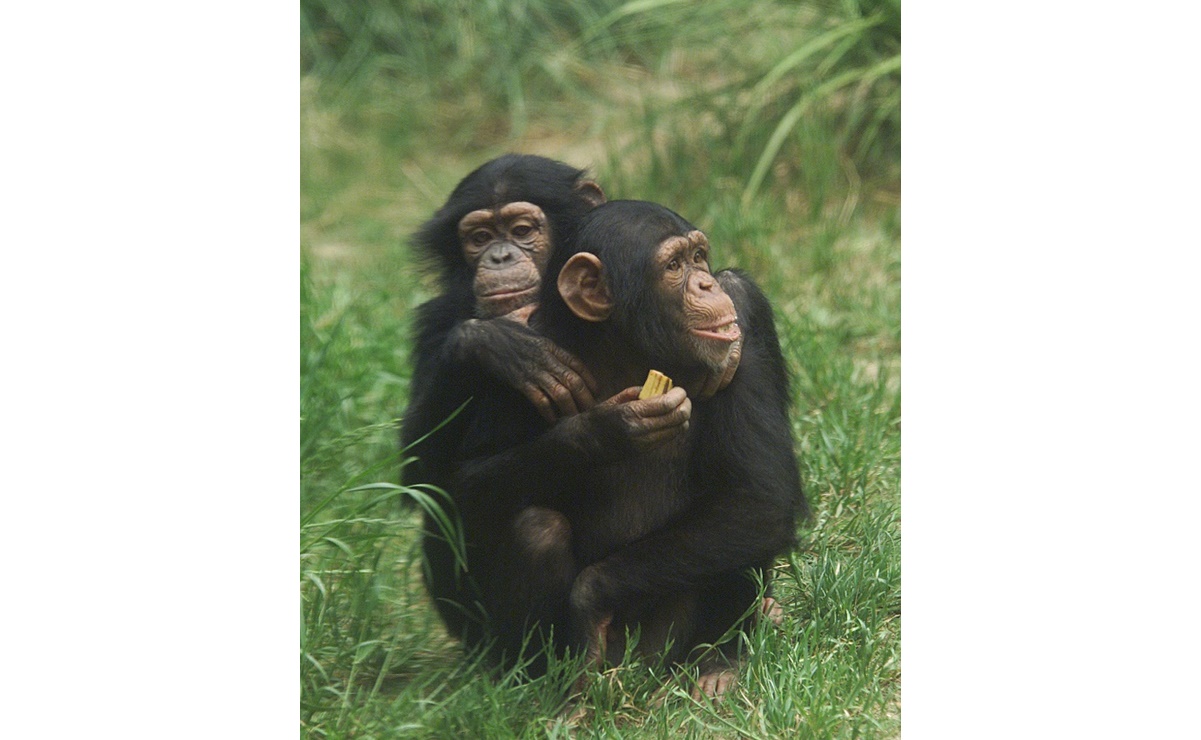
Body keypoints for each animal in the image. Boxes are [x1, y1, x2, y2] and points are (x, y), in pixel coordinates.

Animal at [444, 199, 807, 696]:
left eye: (698, 258)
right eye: (673, 267)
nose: (706, 283)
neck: (627, 349)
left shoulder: (742, 336)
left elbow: (758, 498)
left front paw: (588, 599)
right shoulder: (517, 362)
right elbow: (468, 485)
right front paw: (607, 429)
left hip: (663, 644)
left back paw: (718, 664)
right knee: (536, 529)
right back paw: (557, 691)